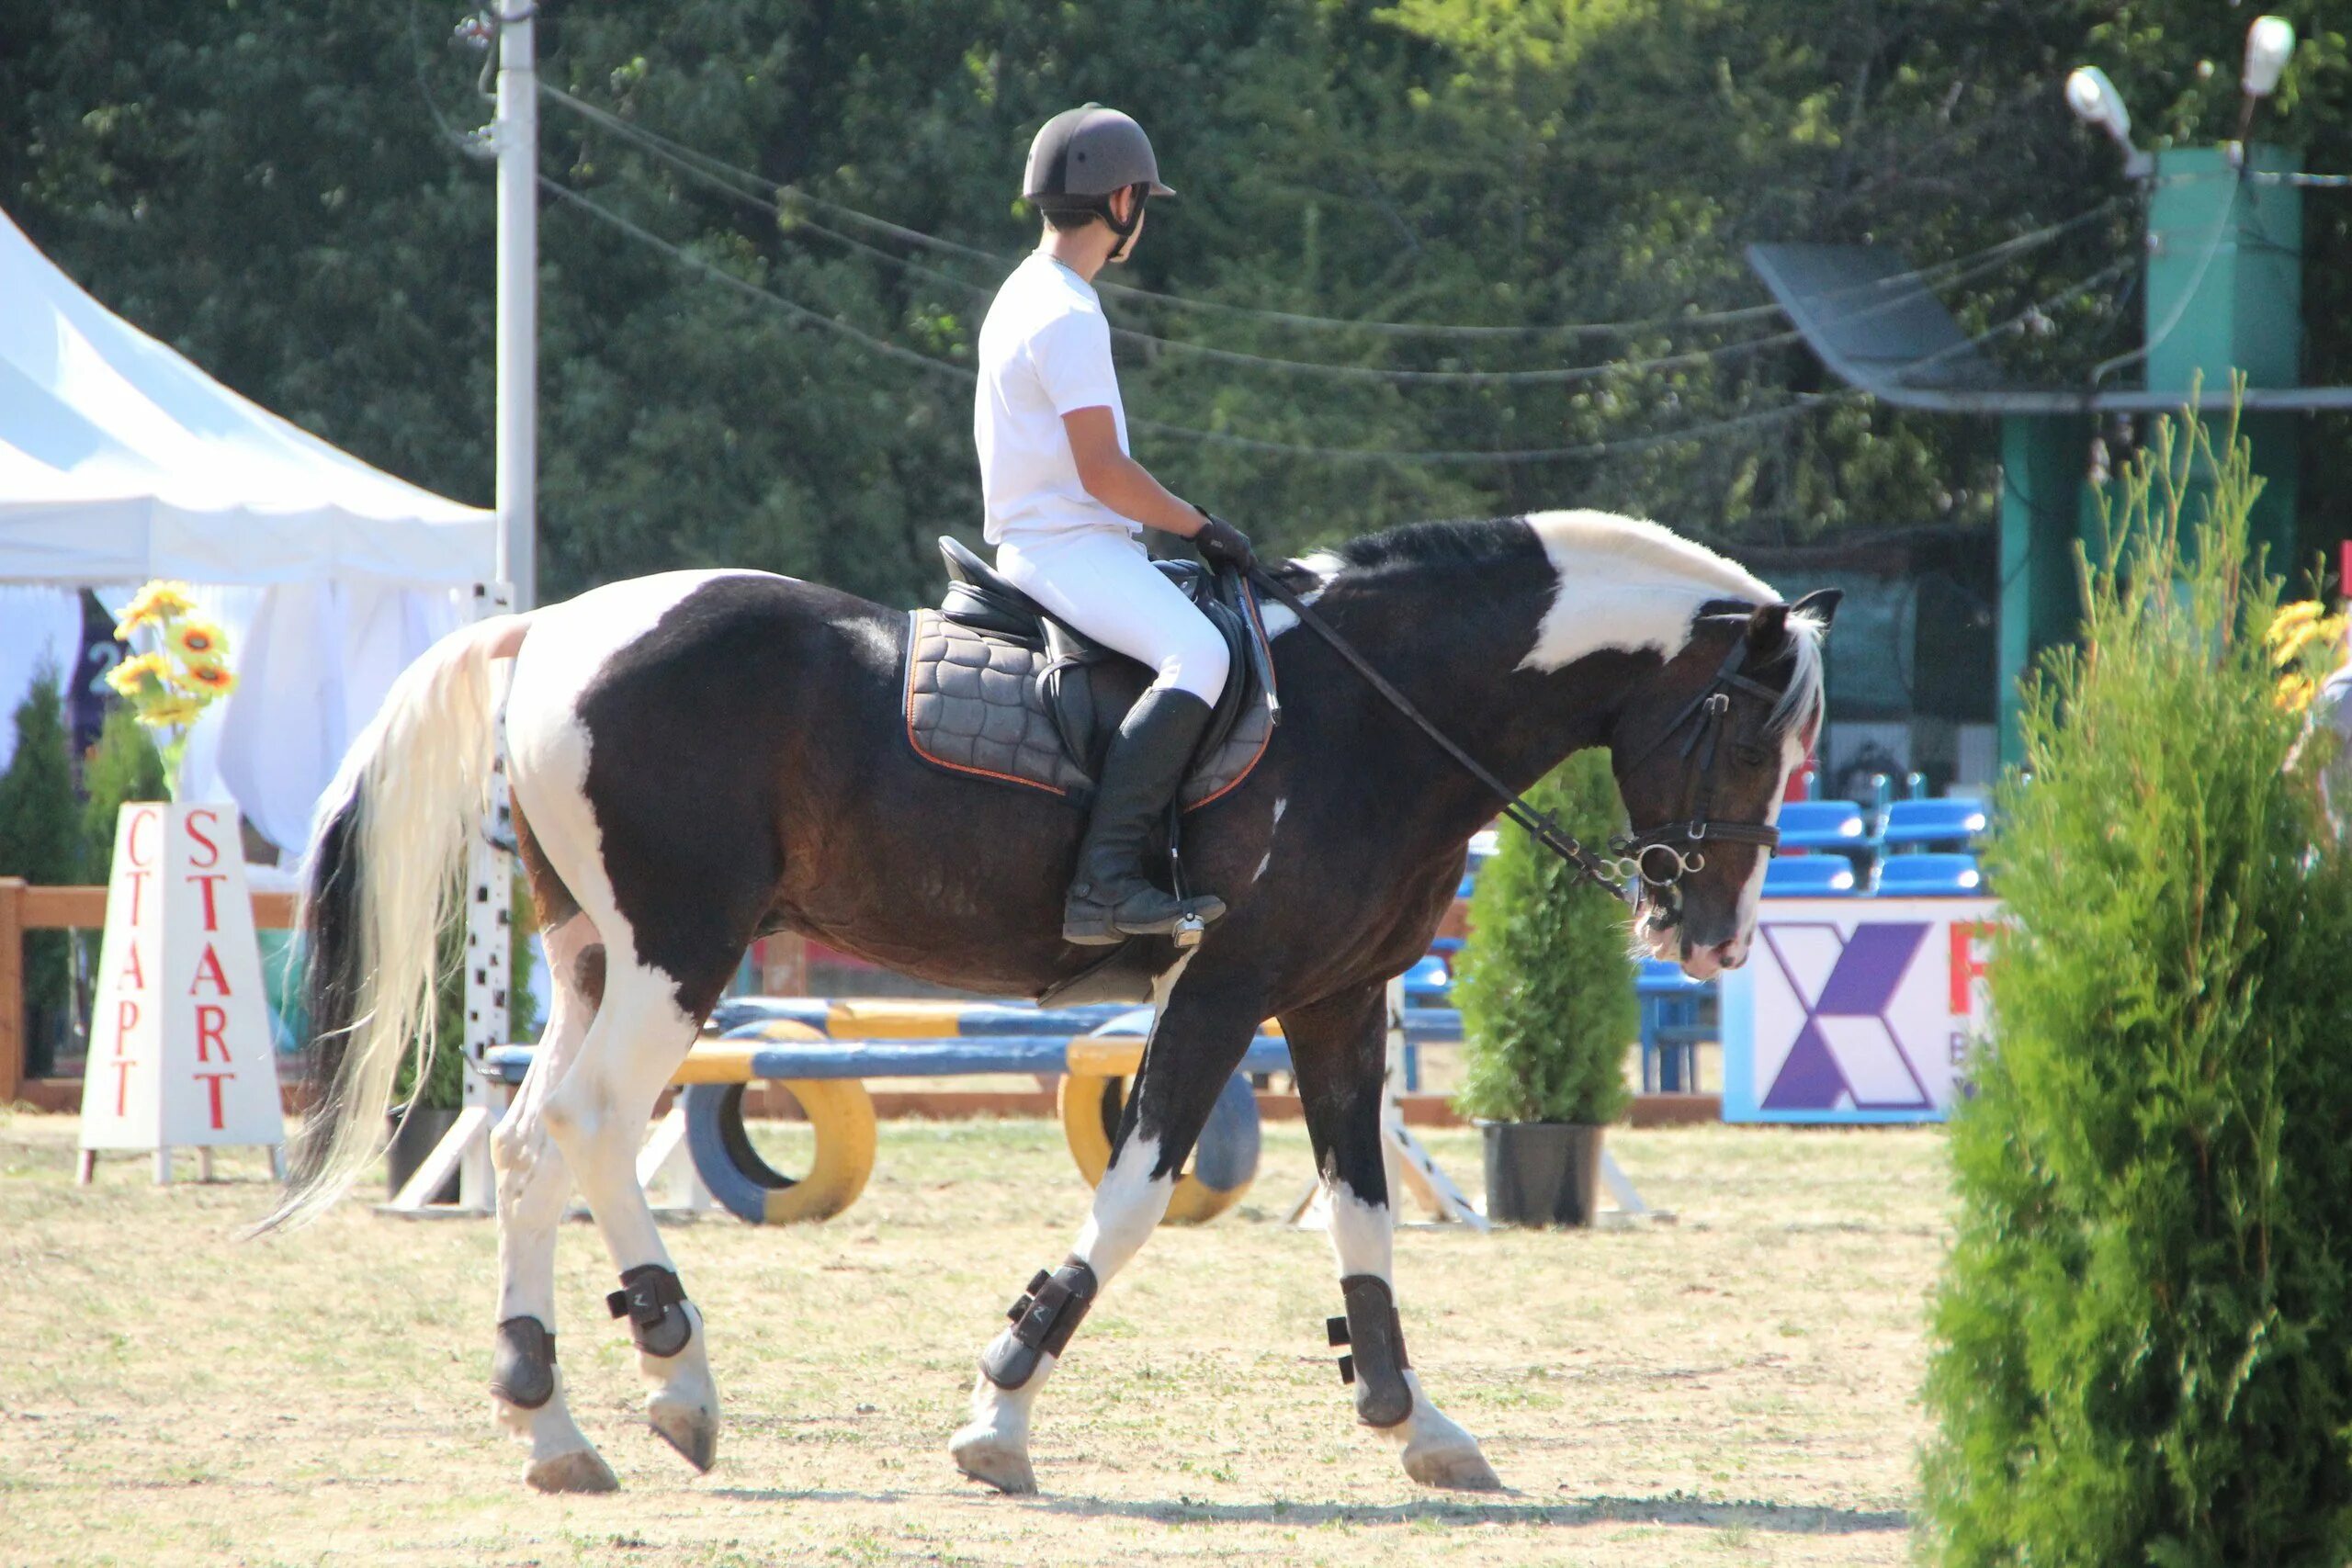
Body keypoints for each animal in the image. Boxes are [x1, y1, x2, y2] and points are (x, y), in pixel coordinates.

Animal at [262, 512, 1834, 1495]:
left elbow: (1365, 1211)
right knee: (590, 1125)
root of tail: (552, 627)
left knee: (531, 1139)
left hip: (597, 954)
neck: (1374, 713)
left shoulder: (1338, 998)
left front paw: (1414, 1417)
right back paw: (678, 1374)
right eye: (1747, 730)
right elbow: (1133, 1197)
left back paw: (554, 1424)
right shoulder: (1230, 983)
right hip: (677, 952)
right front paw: (1001, 1408)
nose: (1711, 934)